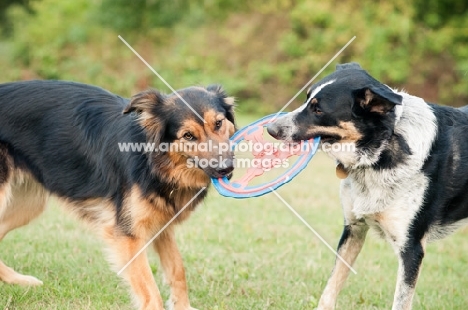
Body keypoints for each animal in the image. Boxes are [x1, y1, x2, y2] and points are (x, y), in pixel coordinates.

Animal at [266, 63, 468, 310]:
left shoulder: (412, 249)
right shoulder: (353, 228)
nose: (270, 128)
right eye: (306, 100)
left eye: (318, 110)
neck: (381, 150)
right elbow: (331, 286)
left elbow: (400, 302)